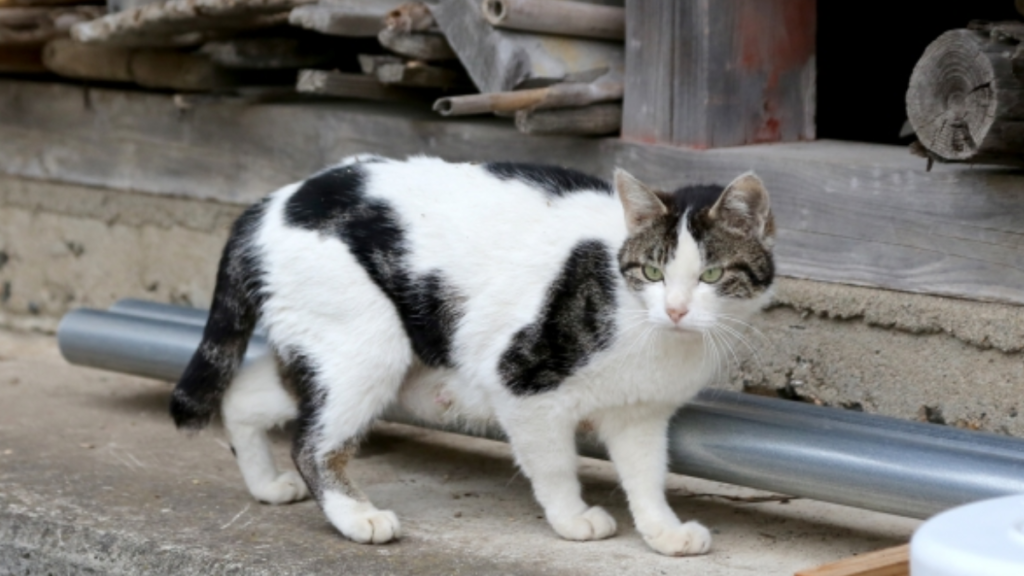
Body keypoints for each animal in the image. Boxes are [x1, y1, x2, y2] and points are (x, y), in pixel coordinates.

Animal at [167, 154, 774, 553]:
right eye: (652, 272)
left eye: (712, 276)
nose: (675, 309)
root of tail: (273, 200)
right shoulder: (523, 386)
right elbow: (553, 463)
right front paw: (572, 518)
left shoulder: (640, 413)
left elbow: (647, 475)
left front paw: (662, 531)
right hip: (368, 349)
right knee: (313, 444)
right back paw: (356, 516)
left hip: (344, 349)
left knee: (243, 394)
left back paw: (266, 485)